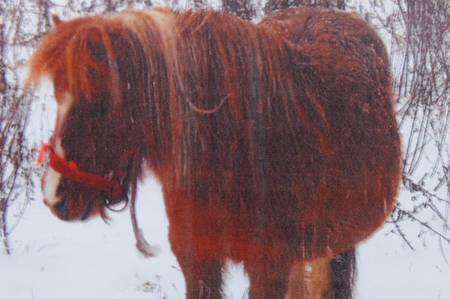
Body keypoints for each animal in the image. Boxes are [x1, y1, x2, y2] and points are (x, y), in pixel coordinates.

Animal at [27, 7, 400, 299]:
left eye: (102, 103)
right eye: (57, 95)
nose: (54, 197)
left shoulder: (269, 269)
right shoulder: (198, 261)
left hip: (338, 245)